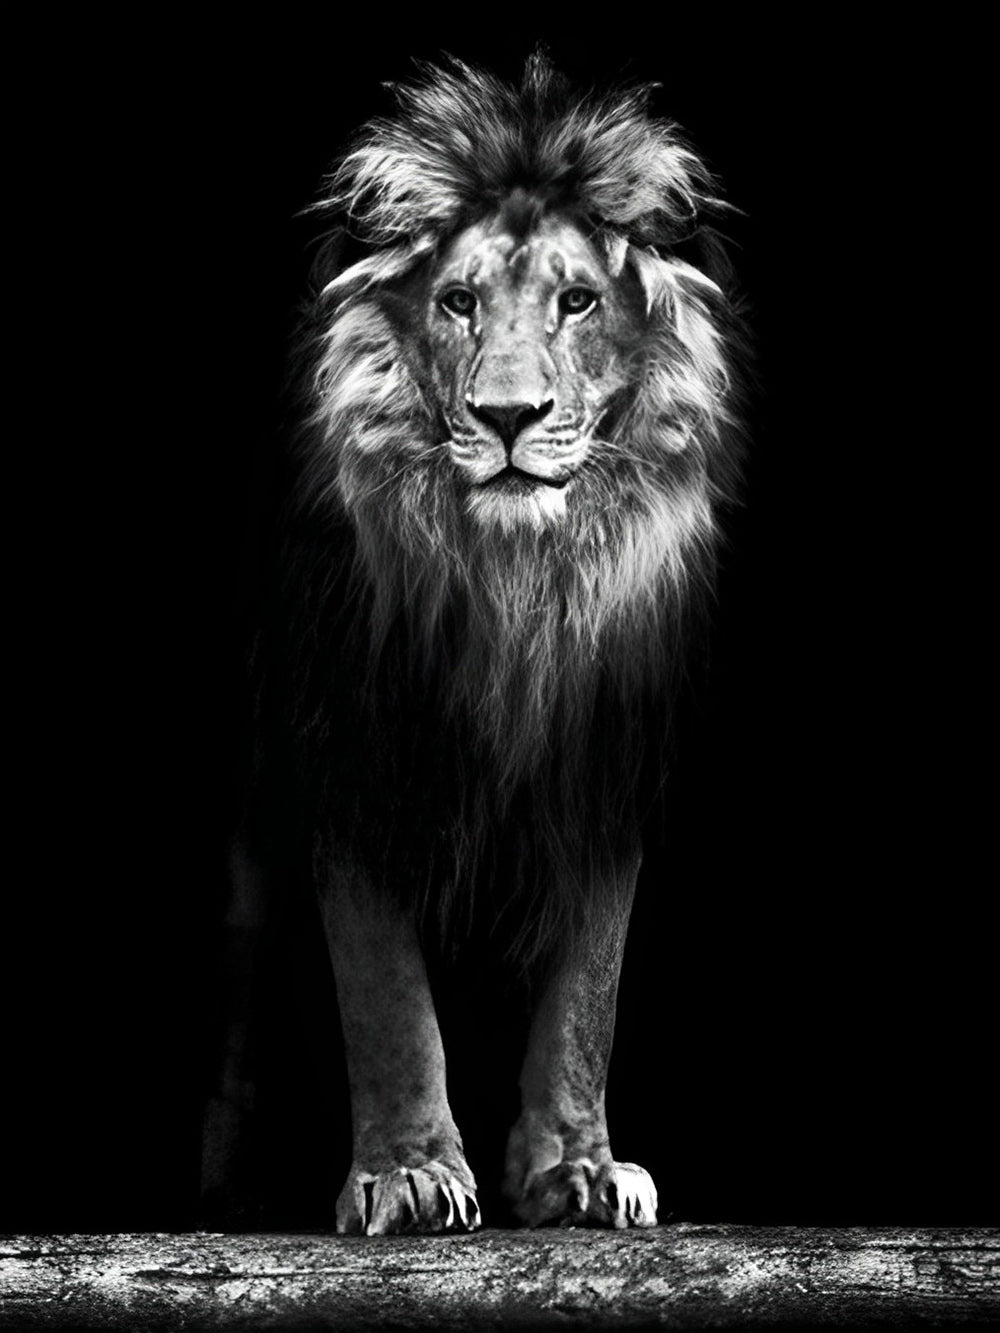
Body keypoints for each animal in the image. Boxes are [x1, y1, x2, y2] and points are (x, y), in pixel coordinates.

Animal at [210, 53, 745, 1235]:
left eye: (577, 300)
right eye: (458, 303)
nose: (508, 416)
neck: (513, 587)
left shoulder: (603, 767)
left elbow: (588, 994)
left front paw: (579, 1170)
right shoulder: (354, 754)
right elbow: (386, 997)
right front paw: (408, 1173)